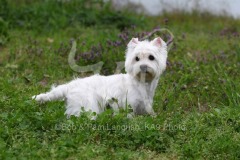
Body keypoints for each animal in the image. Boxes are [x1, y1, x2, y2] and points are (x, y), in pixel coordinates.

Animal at [31, 37, 168, 118]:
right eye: (137, 58)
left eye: (151, 57)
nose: (143, 67)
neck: (142, 84)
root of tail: (70, 86)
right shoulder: (130, 104)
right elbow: (130, 116)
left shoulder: (145, 105)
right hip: (87, 105)